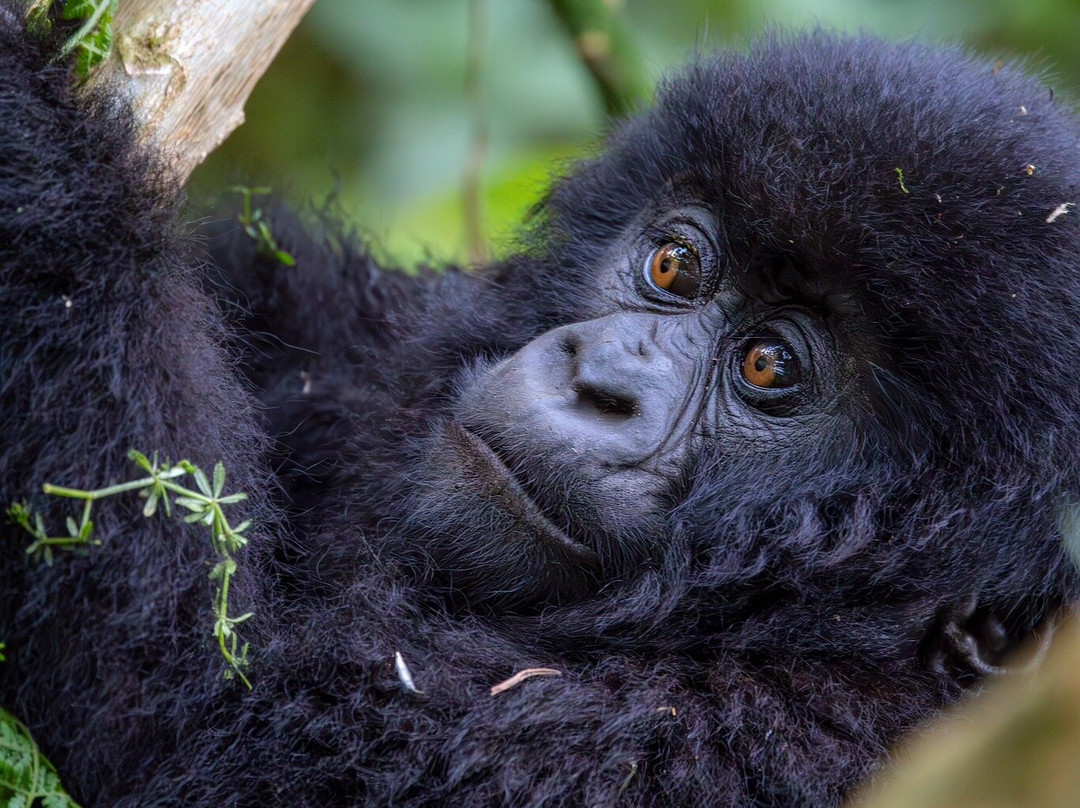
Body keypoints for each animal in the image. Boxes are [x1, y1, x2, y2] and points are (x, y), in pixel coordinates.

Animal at [2, 9, 1080, 808]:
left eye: (770, 365)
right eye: (674, 264)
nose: (599, 380)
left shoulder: (761, 741)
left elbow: (214, 724)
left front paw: (29, 143)